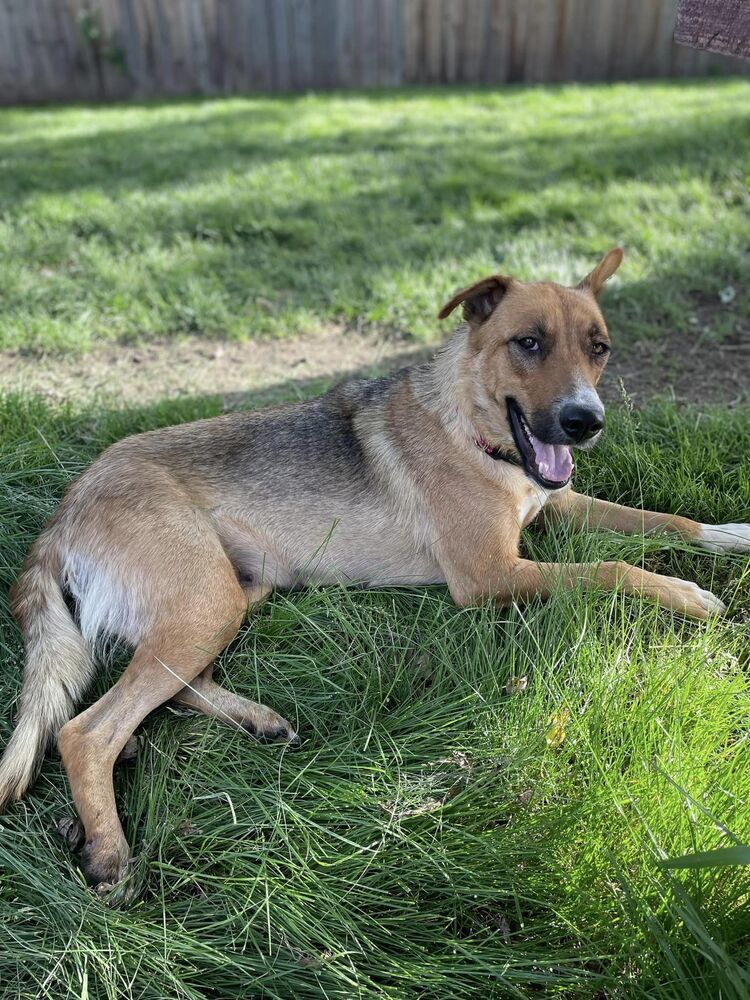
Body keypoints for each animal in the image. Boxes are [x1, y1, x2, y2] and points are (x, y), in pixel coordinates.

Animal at [1, 250, 750, 892]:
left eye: (598, 347)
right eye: (528, 343)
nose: (584, 422)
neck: (470, 425)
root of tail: (68, 504)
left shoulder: (556, 504)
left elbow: (660, 521)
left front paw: (729, 533)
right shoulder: (490, 573)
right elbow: (614, 567)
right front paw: (687, 592)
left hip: (233, 593)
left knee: (168, 688)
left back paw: (255, 721)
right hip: (205, 603)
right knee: (85, 730)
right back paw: (108, 849)